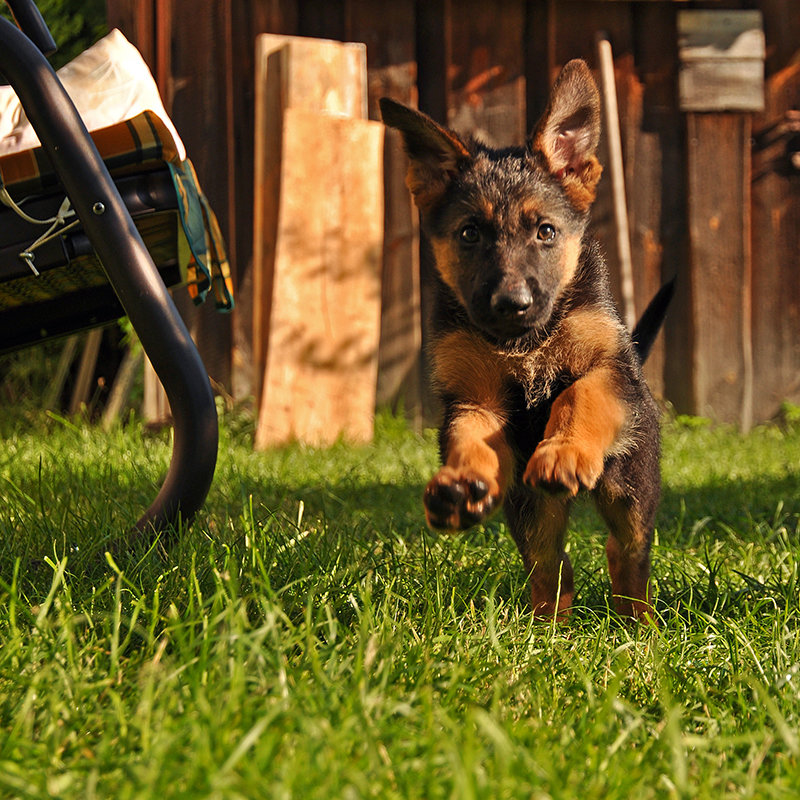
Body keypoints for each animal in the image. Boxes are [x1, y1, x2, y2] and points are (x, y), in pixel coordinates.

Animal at [382, 61, 668, 620]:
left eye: (546, 232)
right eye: (470, 233)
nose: (511, 304)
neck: (525, 344)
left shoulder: (608, 370)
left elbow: (577, 397)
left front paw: (563, 451)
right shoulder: (475, 399)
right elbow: (469, 439)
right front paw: (459, 485)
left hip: (629, 483)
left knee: (626, 551)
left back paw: (637, 624)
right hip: (531, 508)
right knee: (552, 565)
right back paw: (548, 629)